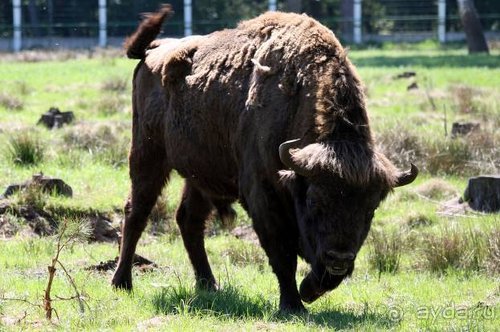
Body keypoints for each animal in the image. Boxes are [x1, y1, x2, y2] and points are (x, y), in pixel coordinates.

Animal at [113, 3, 418, 312]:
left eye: (372, 207)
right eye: (315, 201)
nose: (339, 259)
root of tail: (153, 50)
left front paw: (308, 291)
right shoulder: (263, 195)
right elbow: (282, 254)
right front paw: (293, 304)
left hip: (201, 177)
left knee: (189, 220)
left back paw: (209, 284)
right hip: (148, 155)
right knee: (137, 212)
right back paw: (122, 282)